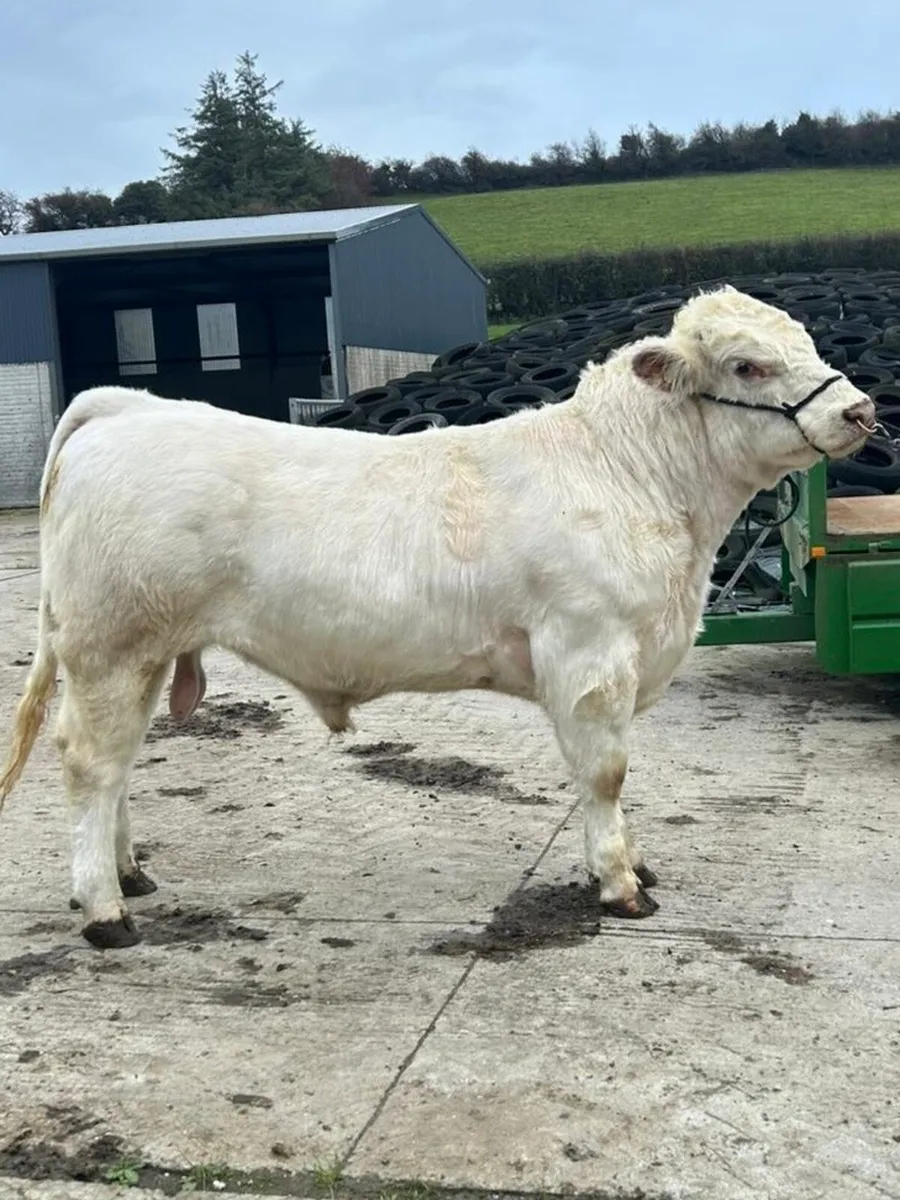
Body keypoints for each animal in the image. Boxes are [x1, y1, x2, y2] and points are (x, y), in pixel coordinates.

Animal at [0, 286, 876, 949]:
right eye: (747, 364)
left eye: (804, 340)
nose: (862, 411)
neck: (633, 475)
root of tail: (130, 409)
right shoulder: (589, 652)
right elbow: (605, 773)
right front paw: (620, 883)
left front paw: (628, 862)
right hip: (111, 646)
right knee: (90, 763)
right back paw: (104, 909)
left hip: (143, 652)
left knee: (118, 765)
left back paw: (129, 874)